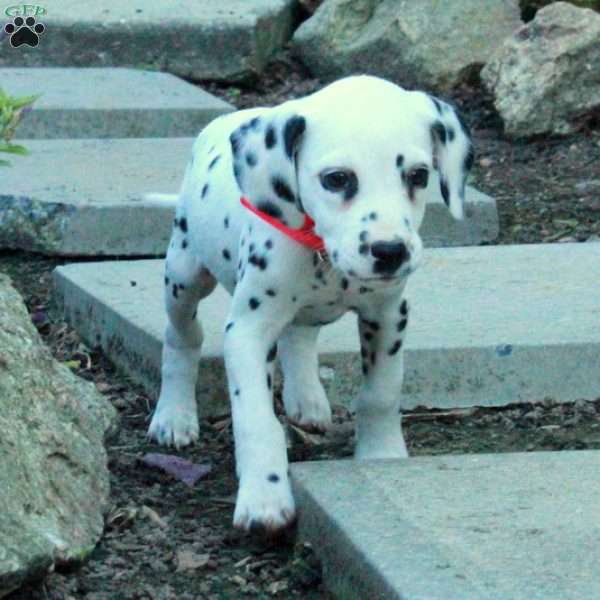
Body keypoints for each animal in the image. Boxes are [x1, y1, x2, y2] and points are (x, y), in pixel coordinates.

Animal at [146, 76, 474, 536]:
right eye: (337, 179)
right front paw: (264, 497)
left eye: (419, 174)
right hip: (184, 275)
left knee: (298, 336)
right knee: (182, 336)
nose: (389, 251)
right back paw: (174, 415)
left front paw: (381, 456)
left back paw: (307, 399)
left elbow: (381, 393)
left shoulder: (389, 315)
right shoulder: (248, 330)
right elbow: (256, 418)